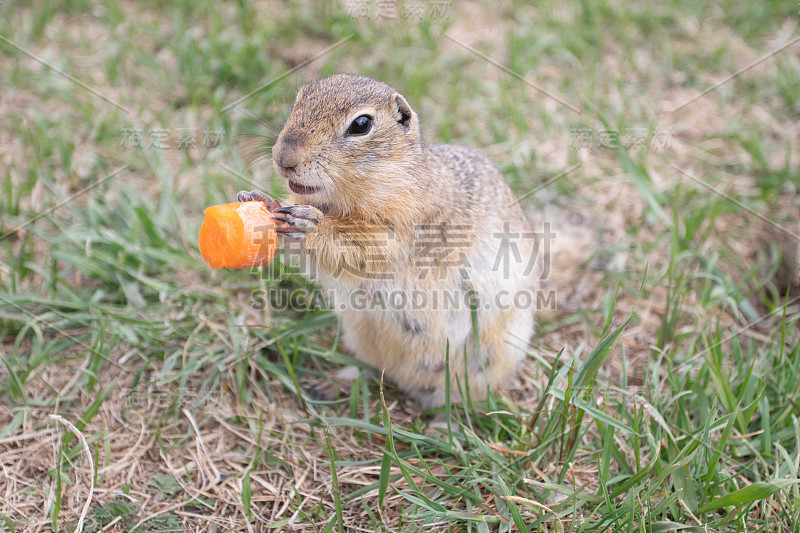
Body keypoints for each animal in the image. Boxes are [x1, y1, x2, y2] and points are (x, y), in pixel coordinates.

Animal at [236, 74, 536, 408]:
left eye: (361, 124)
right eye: (298, 100)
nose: (283, 157)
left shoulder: (404, 224)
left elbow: (362, 247)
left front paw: (309, 225)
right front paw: (260, 200)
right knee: (371, 368)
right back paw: (332, 383)